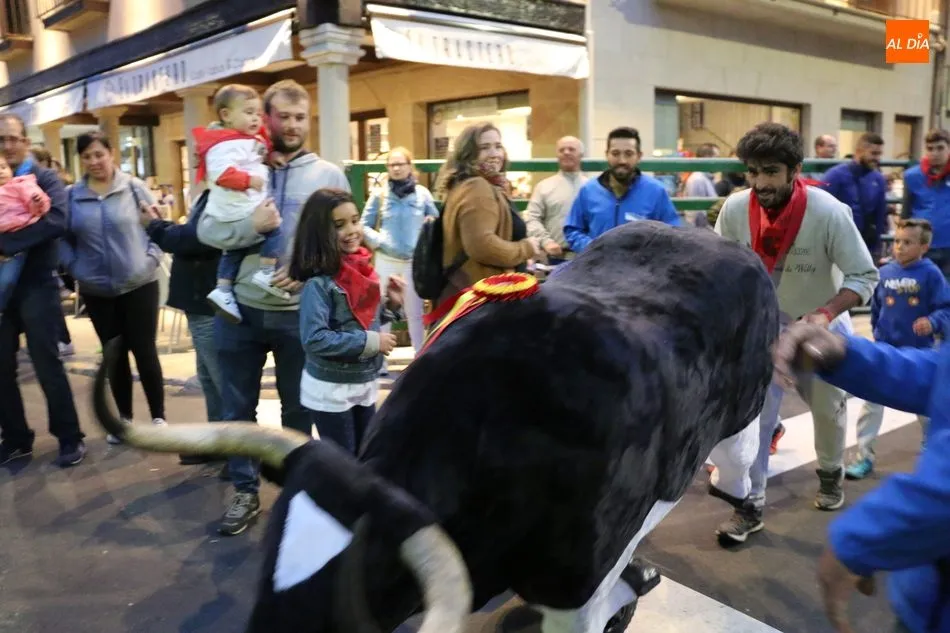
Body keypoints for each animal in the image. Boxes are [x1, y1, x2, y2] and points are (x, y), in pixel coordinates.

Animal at [91, 220, 779, 633]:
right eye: (269, 565)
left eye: (356, 590)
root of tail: (705, 235)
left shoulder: (576, 579)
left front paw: (625, 598)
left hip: (740, 419)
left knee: (740, 462)